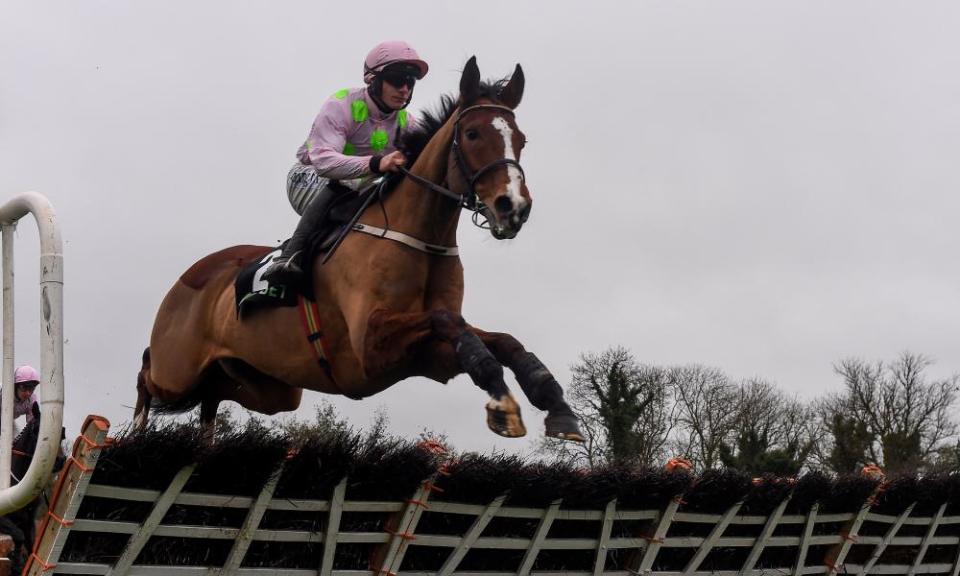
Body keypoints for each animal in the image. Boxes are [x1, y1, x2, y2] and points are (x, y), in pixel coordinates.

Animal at [133, 56, 584, 444]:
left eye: (521, 140)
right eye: (473, 134)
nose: (514, 207)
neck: (418, 234)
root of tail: (188, 277)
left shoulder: (430, 358)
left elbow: (500, 340)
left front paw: (554, 403)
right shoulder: (370, 348)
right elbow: (447, 321)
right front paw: (503, 401)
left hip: (268, 386)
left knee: (212, 394)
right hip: (177, 368)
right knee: (147, 371)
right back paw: (129, 434)